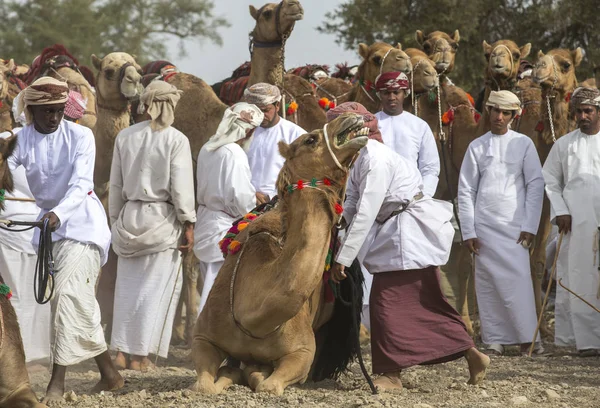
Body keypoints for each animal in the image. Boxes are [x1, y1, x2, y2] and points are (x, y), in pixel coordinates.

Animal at [192, 111, 368, 396]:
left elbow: (267, 384)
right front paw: (227, 375)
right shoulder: (203, 336)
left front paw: (251, 372)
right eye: (310, 139)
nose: (350, 117)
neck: (253, 318)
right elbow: (205, 386)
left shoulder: (302, 351)